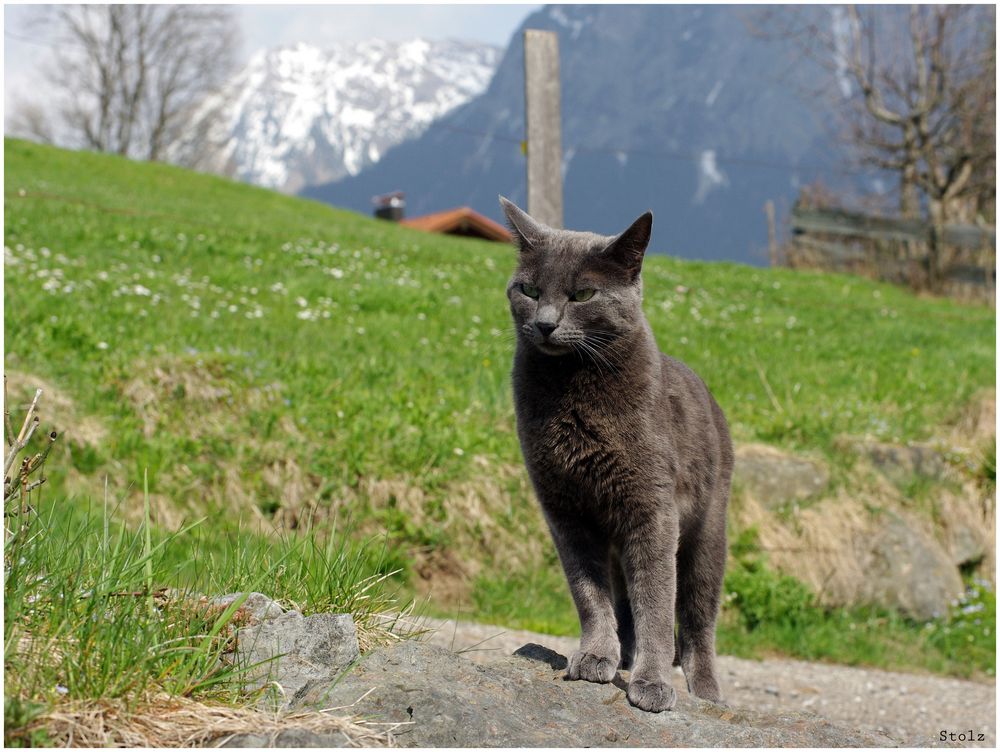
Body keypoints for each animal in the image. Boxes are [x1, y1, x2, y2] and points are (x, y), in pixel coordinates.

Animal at [504, 197, 732, 712]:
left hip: (707, 533)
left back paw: (707, 692)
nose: (544, 324)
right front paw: (596, 657)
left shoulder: (652, 508)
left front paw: (652, 683)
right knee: (624, 602)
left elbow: (656, 601)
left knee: (697, 620)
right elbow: (590, 594)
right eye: (528, 289)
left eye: (584, 294)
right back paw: (622, 657)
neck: (571, 388)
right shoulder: (565, 510)